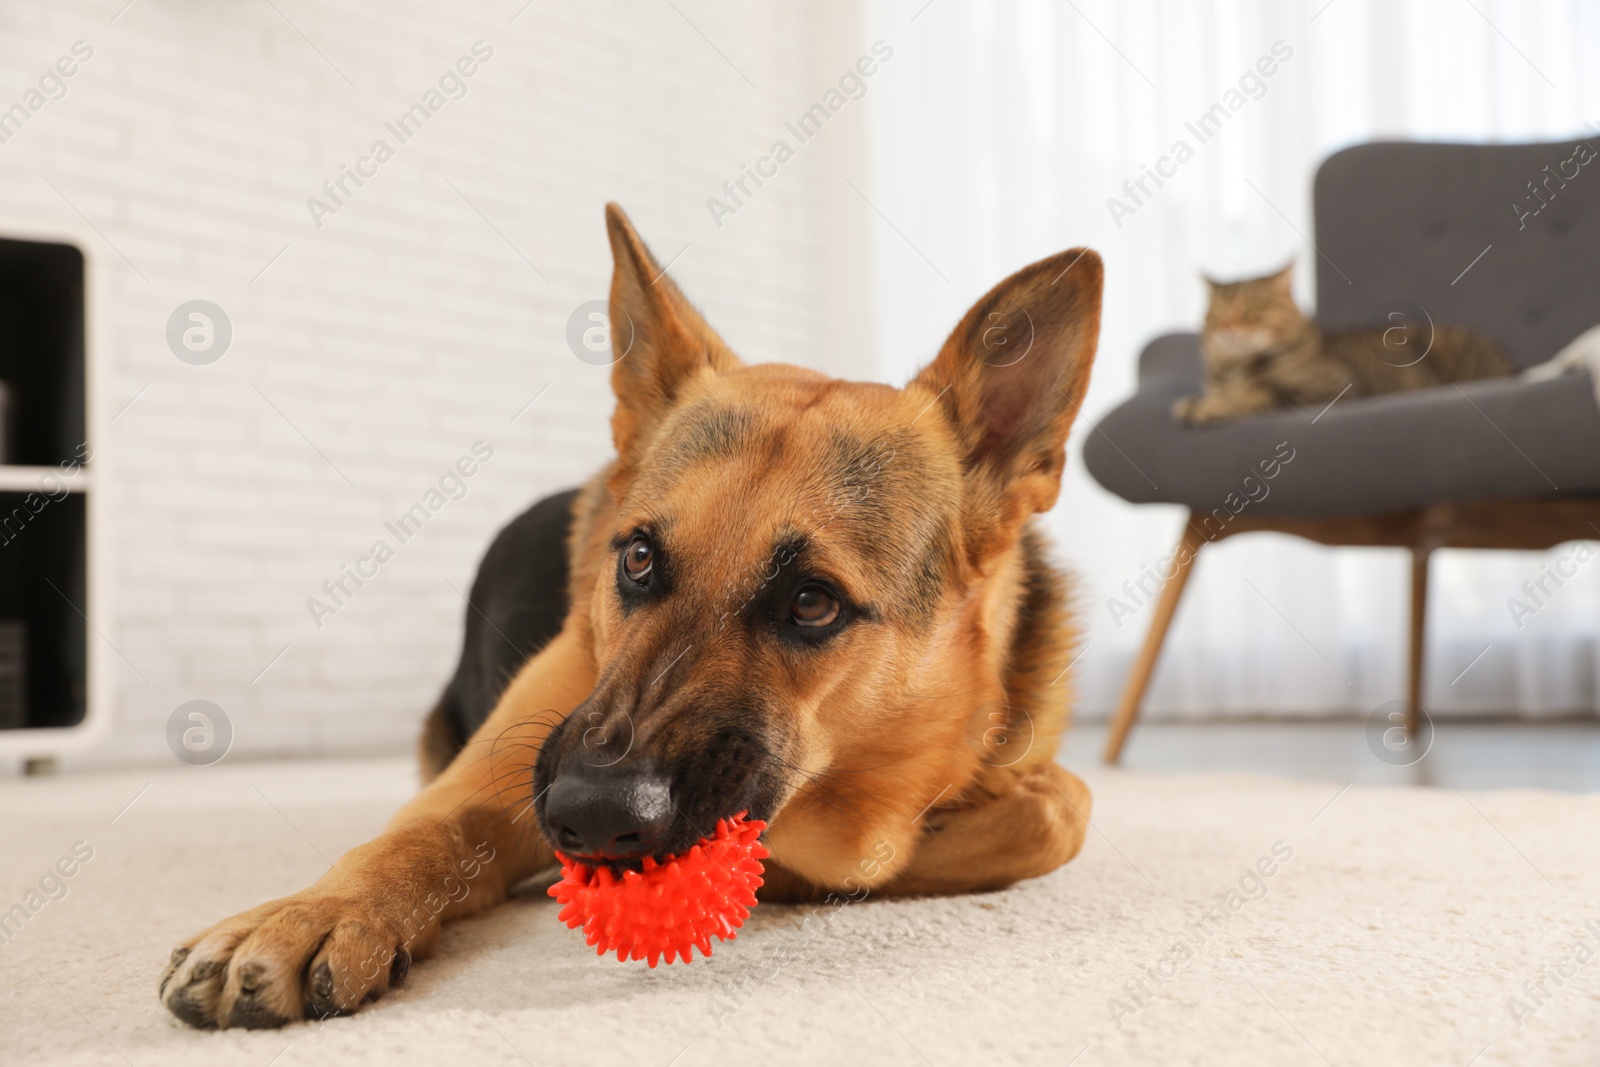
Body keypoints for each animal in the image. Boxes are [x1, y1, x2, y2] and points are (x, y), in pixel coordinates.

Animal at [159, 204, 1100, 1030]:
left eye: (813, 601)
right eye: (638, 557)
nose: (590, 813)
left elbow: (1059, 807)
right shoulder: (494, 779)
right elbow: (417, 832)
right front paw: (311, 911)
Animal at [1177, 262, 1510, 425]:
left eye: (1251, 309)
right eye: (1215, 314)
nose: (1226, 326)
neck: (1235, 369)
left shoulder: (1329, 388)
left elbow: (1254, 397)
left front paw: (1212, 408)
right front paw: (1200, 403)